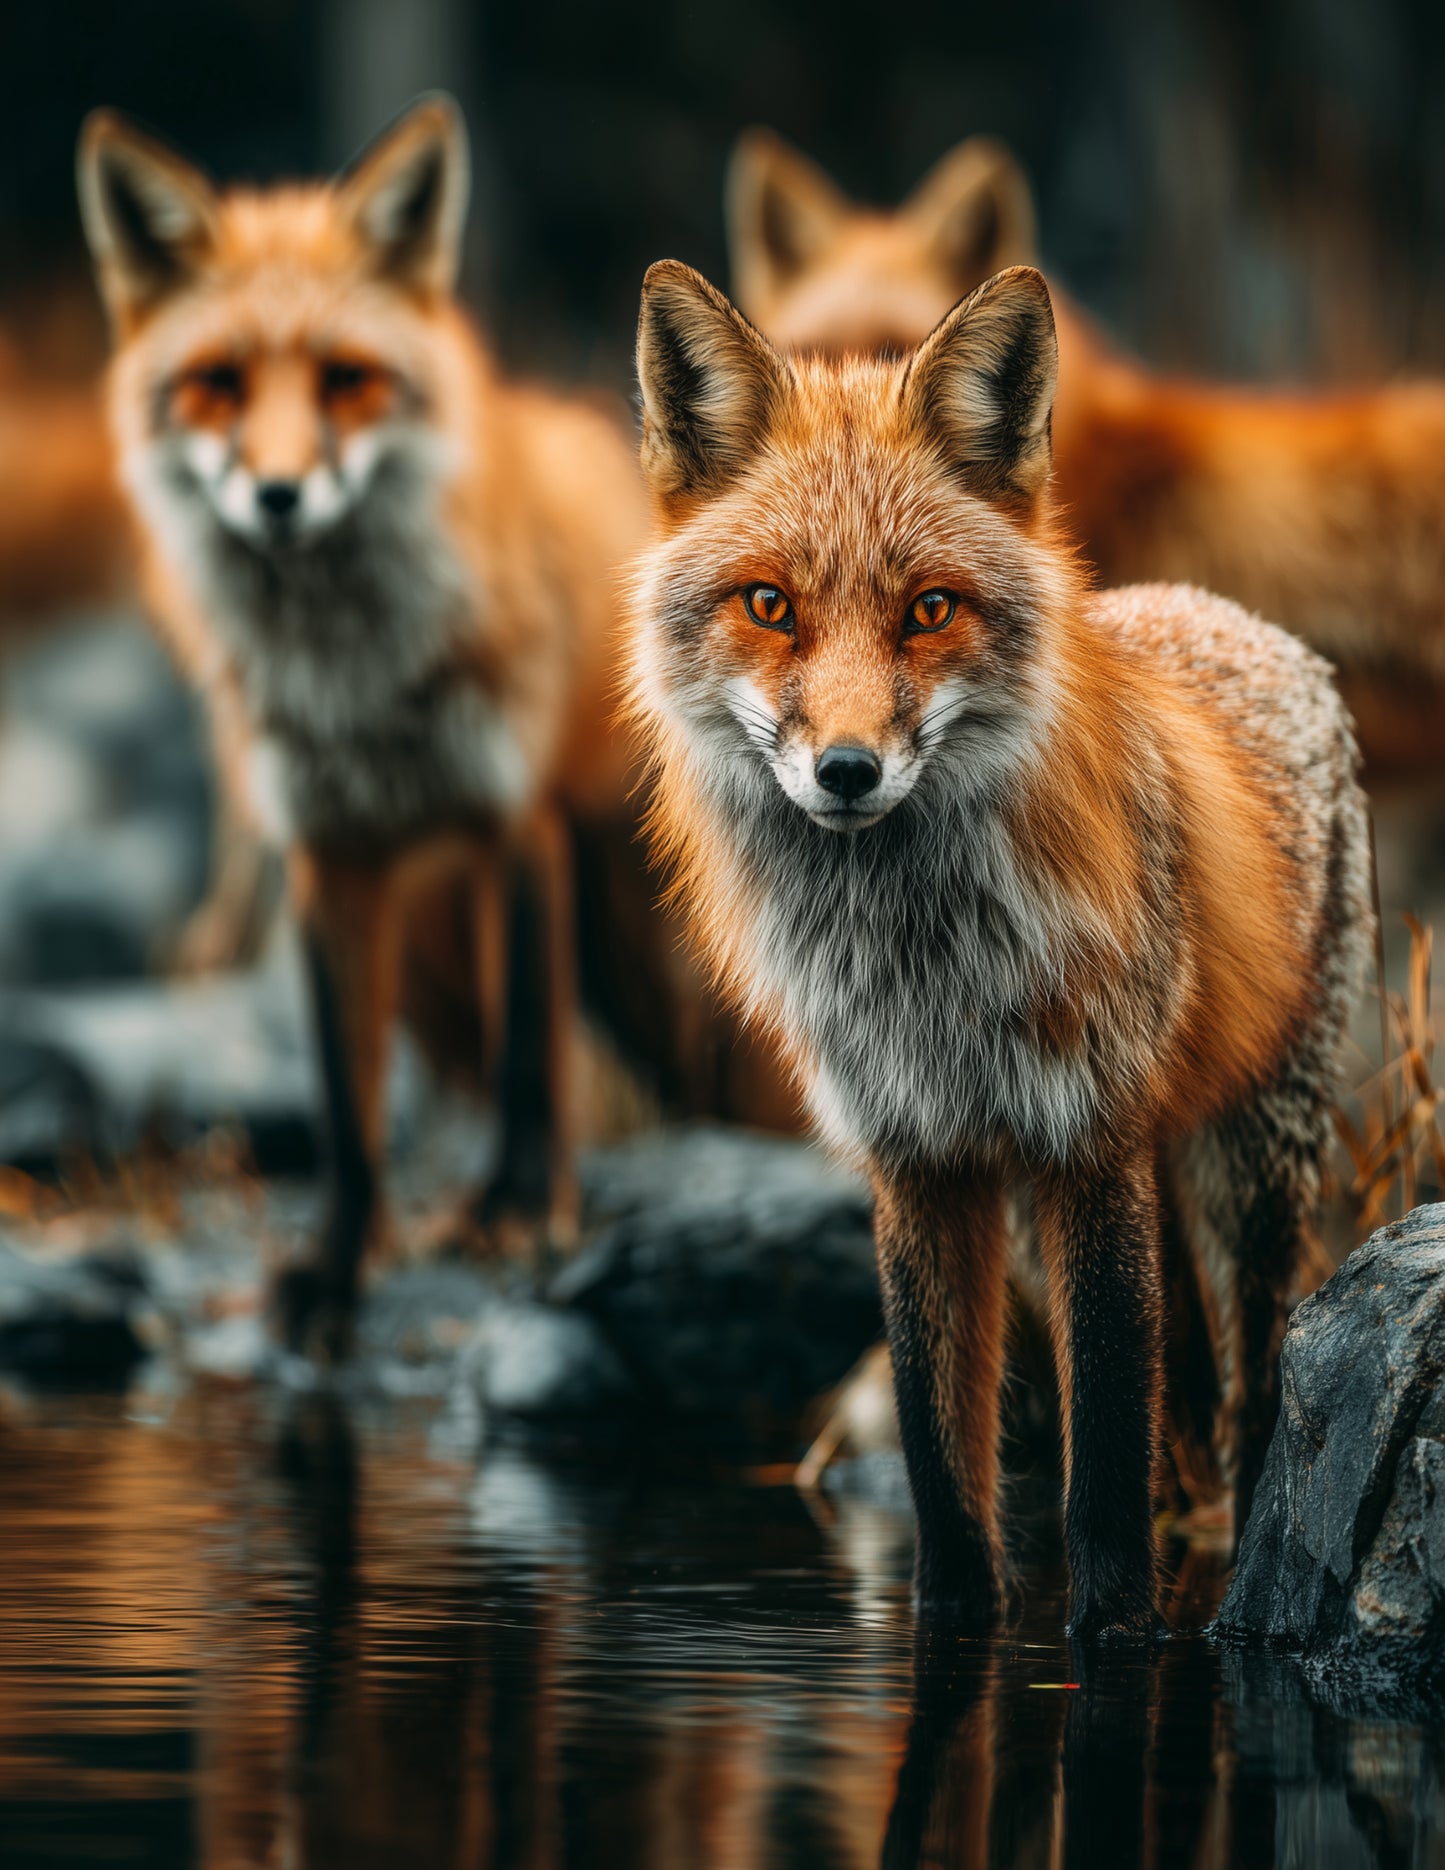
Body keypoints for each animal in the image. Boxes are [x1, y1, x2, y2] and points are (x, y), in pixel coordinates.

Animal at [78, 95, 652, 1353]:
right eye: (218, 383)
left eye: (346, 379)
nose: (279, 496)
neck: (358, 686)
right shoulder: (326, 853)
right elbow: (346, 1106)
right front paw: (334, 1273)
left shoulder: (511, 819)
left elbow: (528, 1052)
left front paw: (515, 1211)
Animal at [627, 258, 1370, 1636]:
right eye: (769, 606)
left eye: (928, 610)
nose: (846, 771)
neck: (919, 969)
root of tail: (1217, 612)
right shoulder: (920, 1159)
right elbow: (939, 1455)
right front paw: (958, 1622)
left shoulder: (1088, 1140)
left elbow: (1104, 1459)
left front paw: (1118, 1630)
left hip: (1244, 1161)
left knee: (1251, 1387)